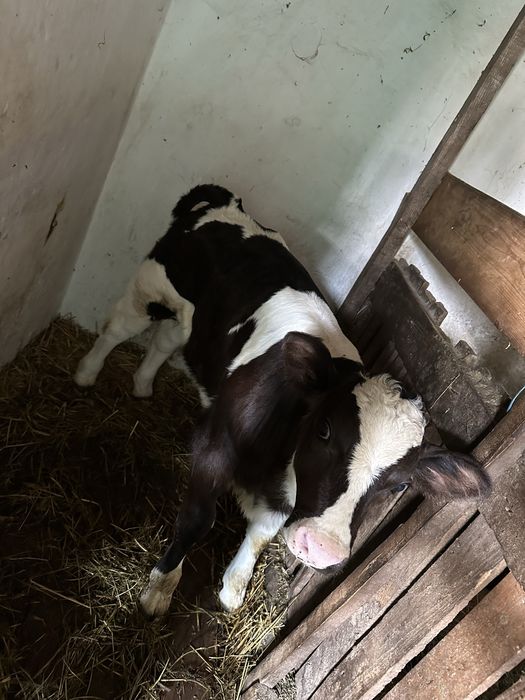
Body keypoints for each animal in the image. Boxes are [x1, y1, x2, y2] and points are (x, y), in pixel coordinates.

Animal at [74, 184, 490, 616]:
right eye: (324, 430)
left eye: (400, 486)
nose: (322, 547)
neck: (275, 458)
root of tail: (226, 203)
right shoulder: (214, 445)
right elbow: (198, 519)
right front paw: (159, 589)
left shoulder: (286, 499)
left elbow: (261, 534)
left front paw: (233, 590)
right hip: (152, 285)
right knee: (118, 327)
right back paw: (86, 373)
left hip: (192, 322)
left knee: (165, 341)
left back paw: (142, 384)